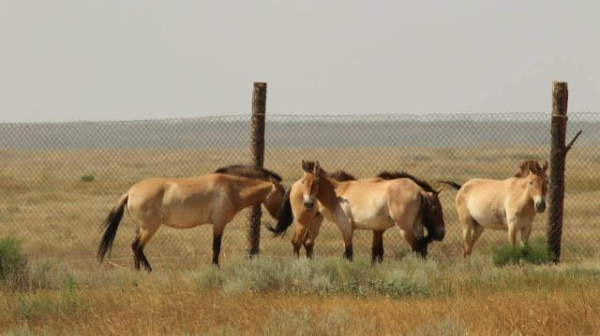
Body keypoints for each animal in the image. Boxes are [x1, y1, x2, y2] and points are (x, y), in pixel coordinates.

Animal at [98, 164, 286, 272]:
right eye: (283, 195)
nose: (281, 226)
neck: (231, 188)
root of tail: (130, 192)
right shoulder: (219, 224)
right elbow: (216, 247)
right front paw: (215, 268)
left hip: (141, 228)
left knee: (134, 247)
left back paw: (137, 271)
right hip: (149, 228)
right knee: (137, 247)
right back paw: (150, 271)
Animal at [270, 161, 442, 262]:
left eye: (317, 182)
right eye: (304, 181)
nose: (307, 203)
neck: (337, 193)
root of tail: (419, 190)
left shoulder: (347, 228)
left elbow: (351, 253)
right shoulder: (355, 229)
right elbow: (360, 253)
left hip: (405, 228)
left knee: (418, 247)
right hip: (308, 220)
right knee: (300, 242)